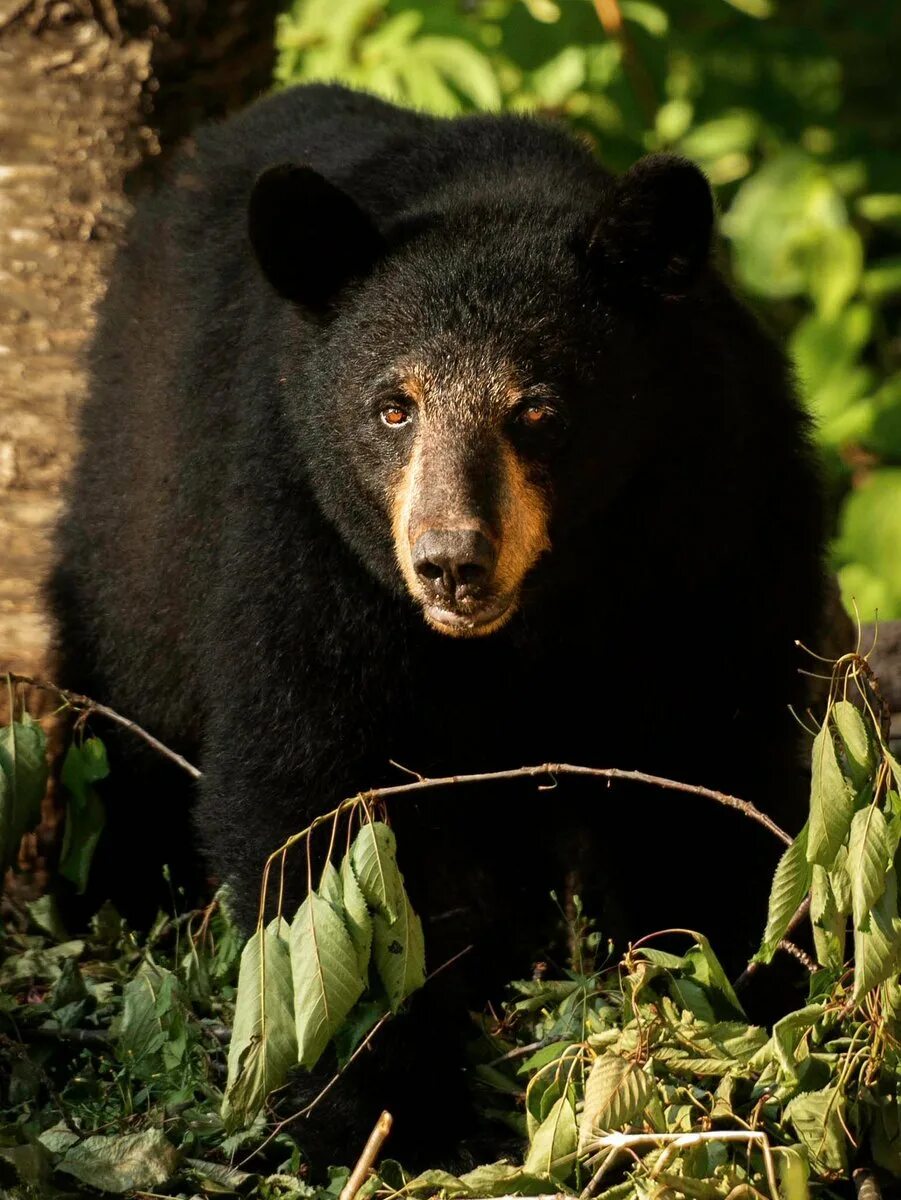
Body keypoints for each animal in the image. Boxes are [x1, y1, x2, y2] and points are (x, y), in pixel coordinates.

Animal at [50, 82, 825, 1164]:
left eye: (537, 410)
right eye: (392, 407)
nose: (451, 563)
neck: (549, 607)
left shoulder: (719, 534)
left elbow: (709, 775)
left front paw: (732, 1034)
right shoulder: (303, 536)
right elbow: (319, 801)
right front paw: (380, 1109)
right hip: (143, 511)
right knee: (129, 708)